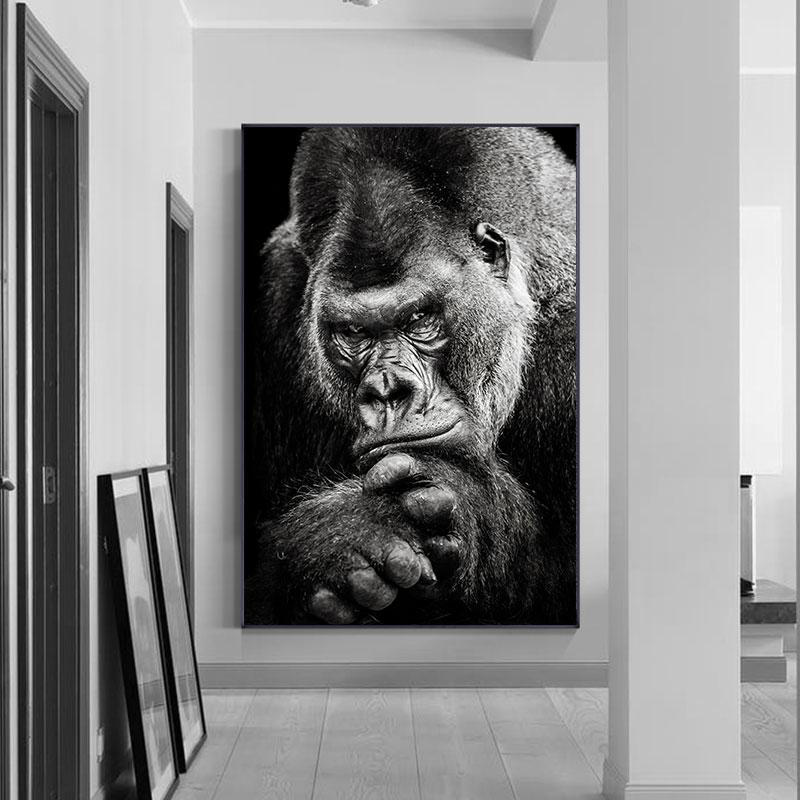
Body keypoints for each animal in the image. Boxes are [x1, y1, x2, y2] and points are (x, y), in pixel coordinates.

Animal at [244, 126, 576, 626]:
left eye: (419, 319)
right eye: (354, 332)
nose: (387, 391)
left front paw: (466, 505)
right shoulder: (277, 294)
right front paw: (338, 537)